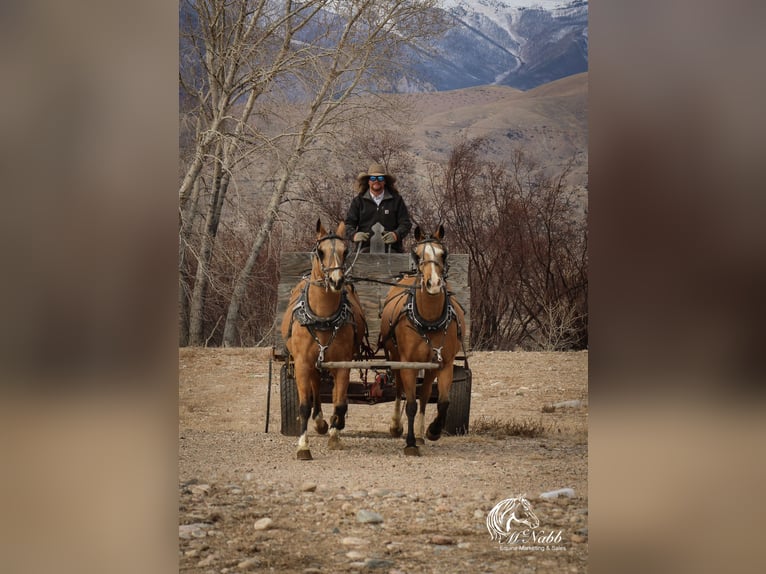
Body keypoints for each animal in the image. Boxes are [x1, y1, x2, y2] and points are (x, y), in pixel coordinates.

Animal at [282, 218, 368, 462]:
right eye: (320, 251)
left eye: (345, 251)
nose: (336, 280)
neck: (323, 318)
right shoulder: (302, 363)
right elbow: (304, 404)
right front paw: (303, 446)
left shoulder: (342, 364)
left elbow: (339, 402)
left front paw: (335, 435)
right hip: (310, 363)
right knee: (315, 388)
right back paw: (319, 421)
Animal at [380, 225, 464, 460]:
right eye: (417, 255)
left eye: (443, 254)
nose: (433, 283)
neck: (429, 320)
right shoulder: (408, 363)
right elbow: (409, 404)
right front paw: (409, 443)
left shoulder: (444, 363)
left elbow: (442, 401)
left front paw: (433, 431)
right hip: (395, 357)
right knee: (399, 389)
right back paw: (396, 427)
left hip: (431, 366)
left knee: (425, 395)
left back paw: (419, 434)